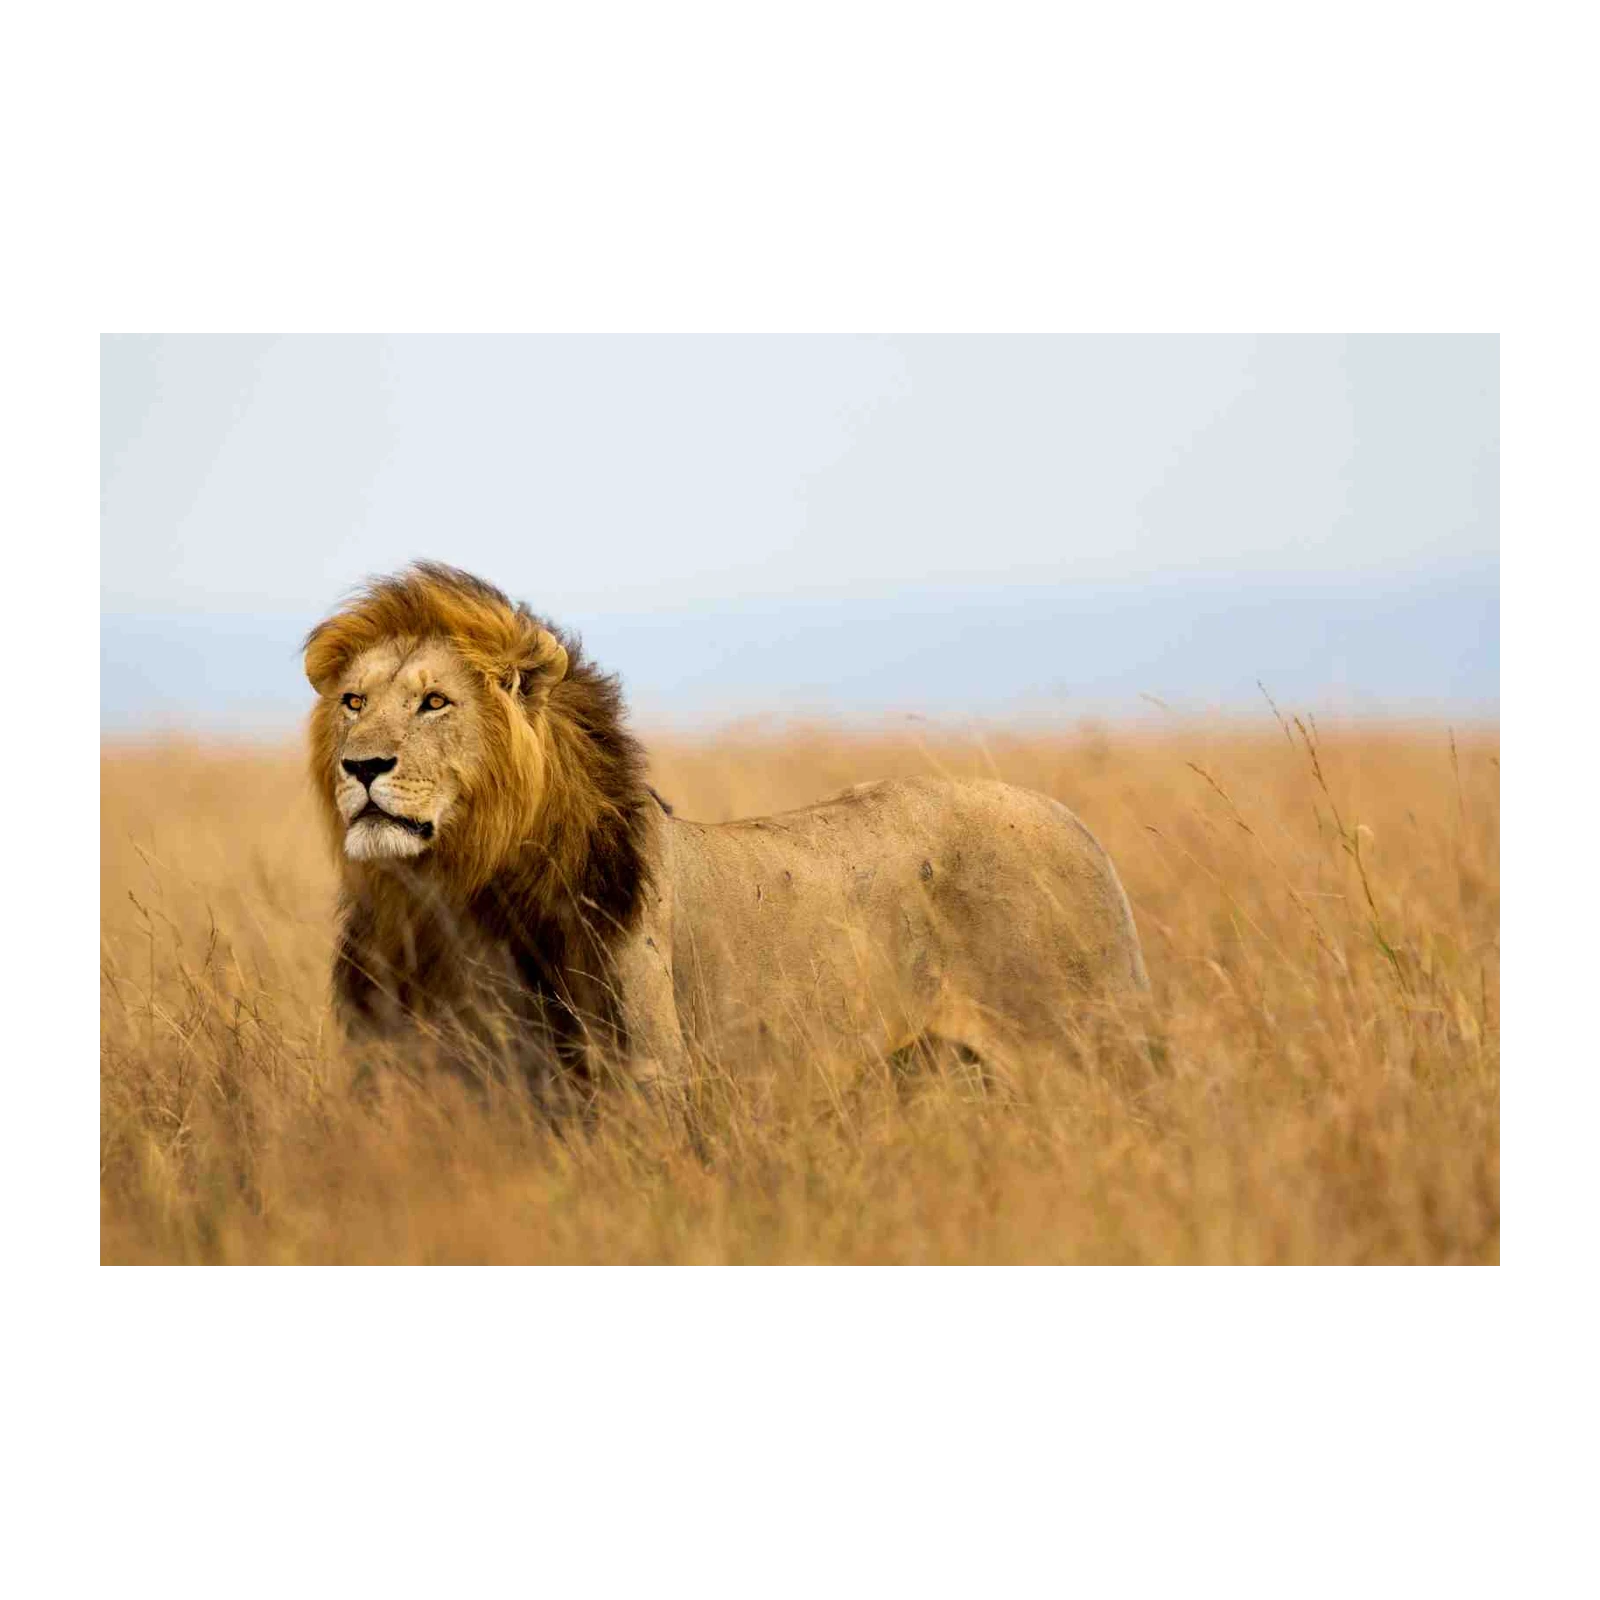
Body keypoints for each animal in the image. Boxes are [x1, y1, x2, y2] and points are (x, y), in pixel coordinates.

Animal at [304, 563, 1150, 1108]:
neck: (449, 895)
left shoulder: (643, 1081)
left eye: (435, 702)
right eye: (354, 701)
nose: (362, 766)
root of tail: (1076, 824)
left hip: (1086, 1056)